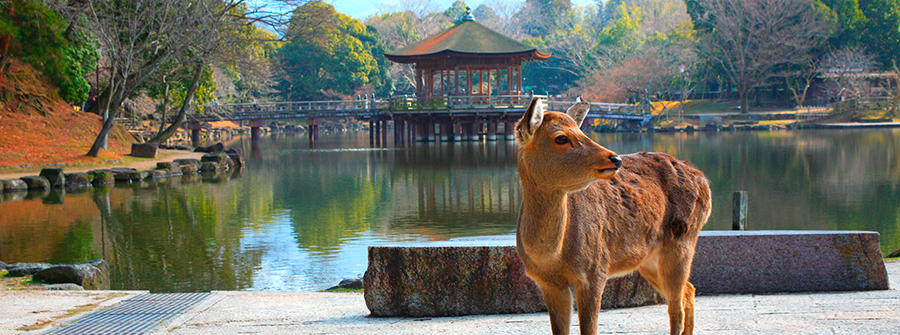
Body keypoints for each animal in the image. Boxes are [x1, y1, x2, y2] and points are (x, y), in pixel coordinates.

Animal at [512, 97, 712, 335]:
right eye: (561, 137)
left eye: (581, 131)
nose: (615, 159)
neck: (551, 257)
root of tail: (704, 180)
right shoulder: (548, 283)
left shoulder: (595, 270)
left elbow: (589, 329)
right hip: (649, 259)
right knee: (689, 290)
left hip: (683, 241)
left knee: (676, 309)